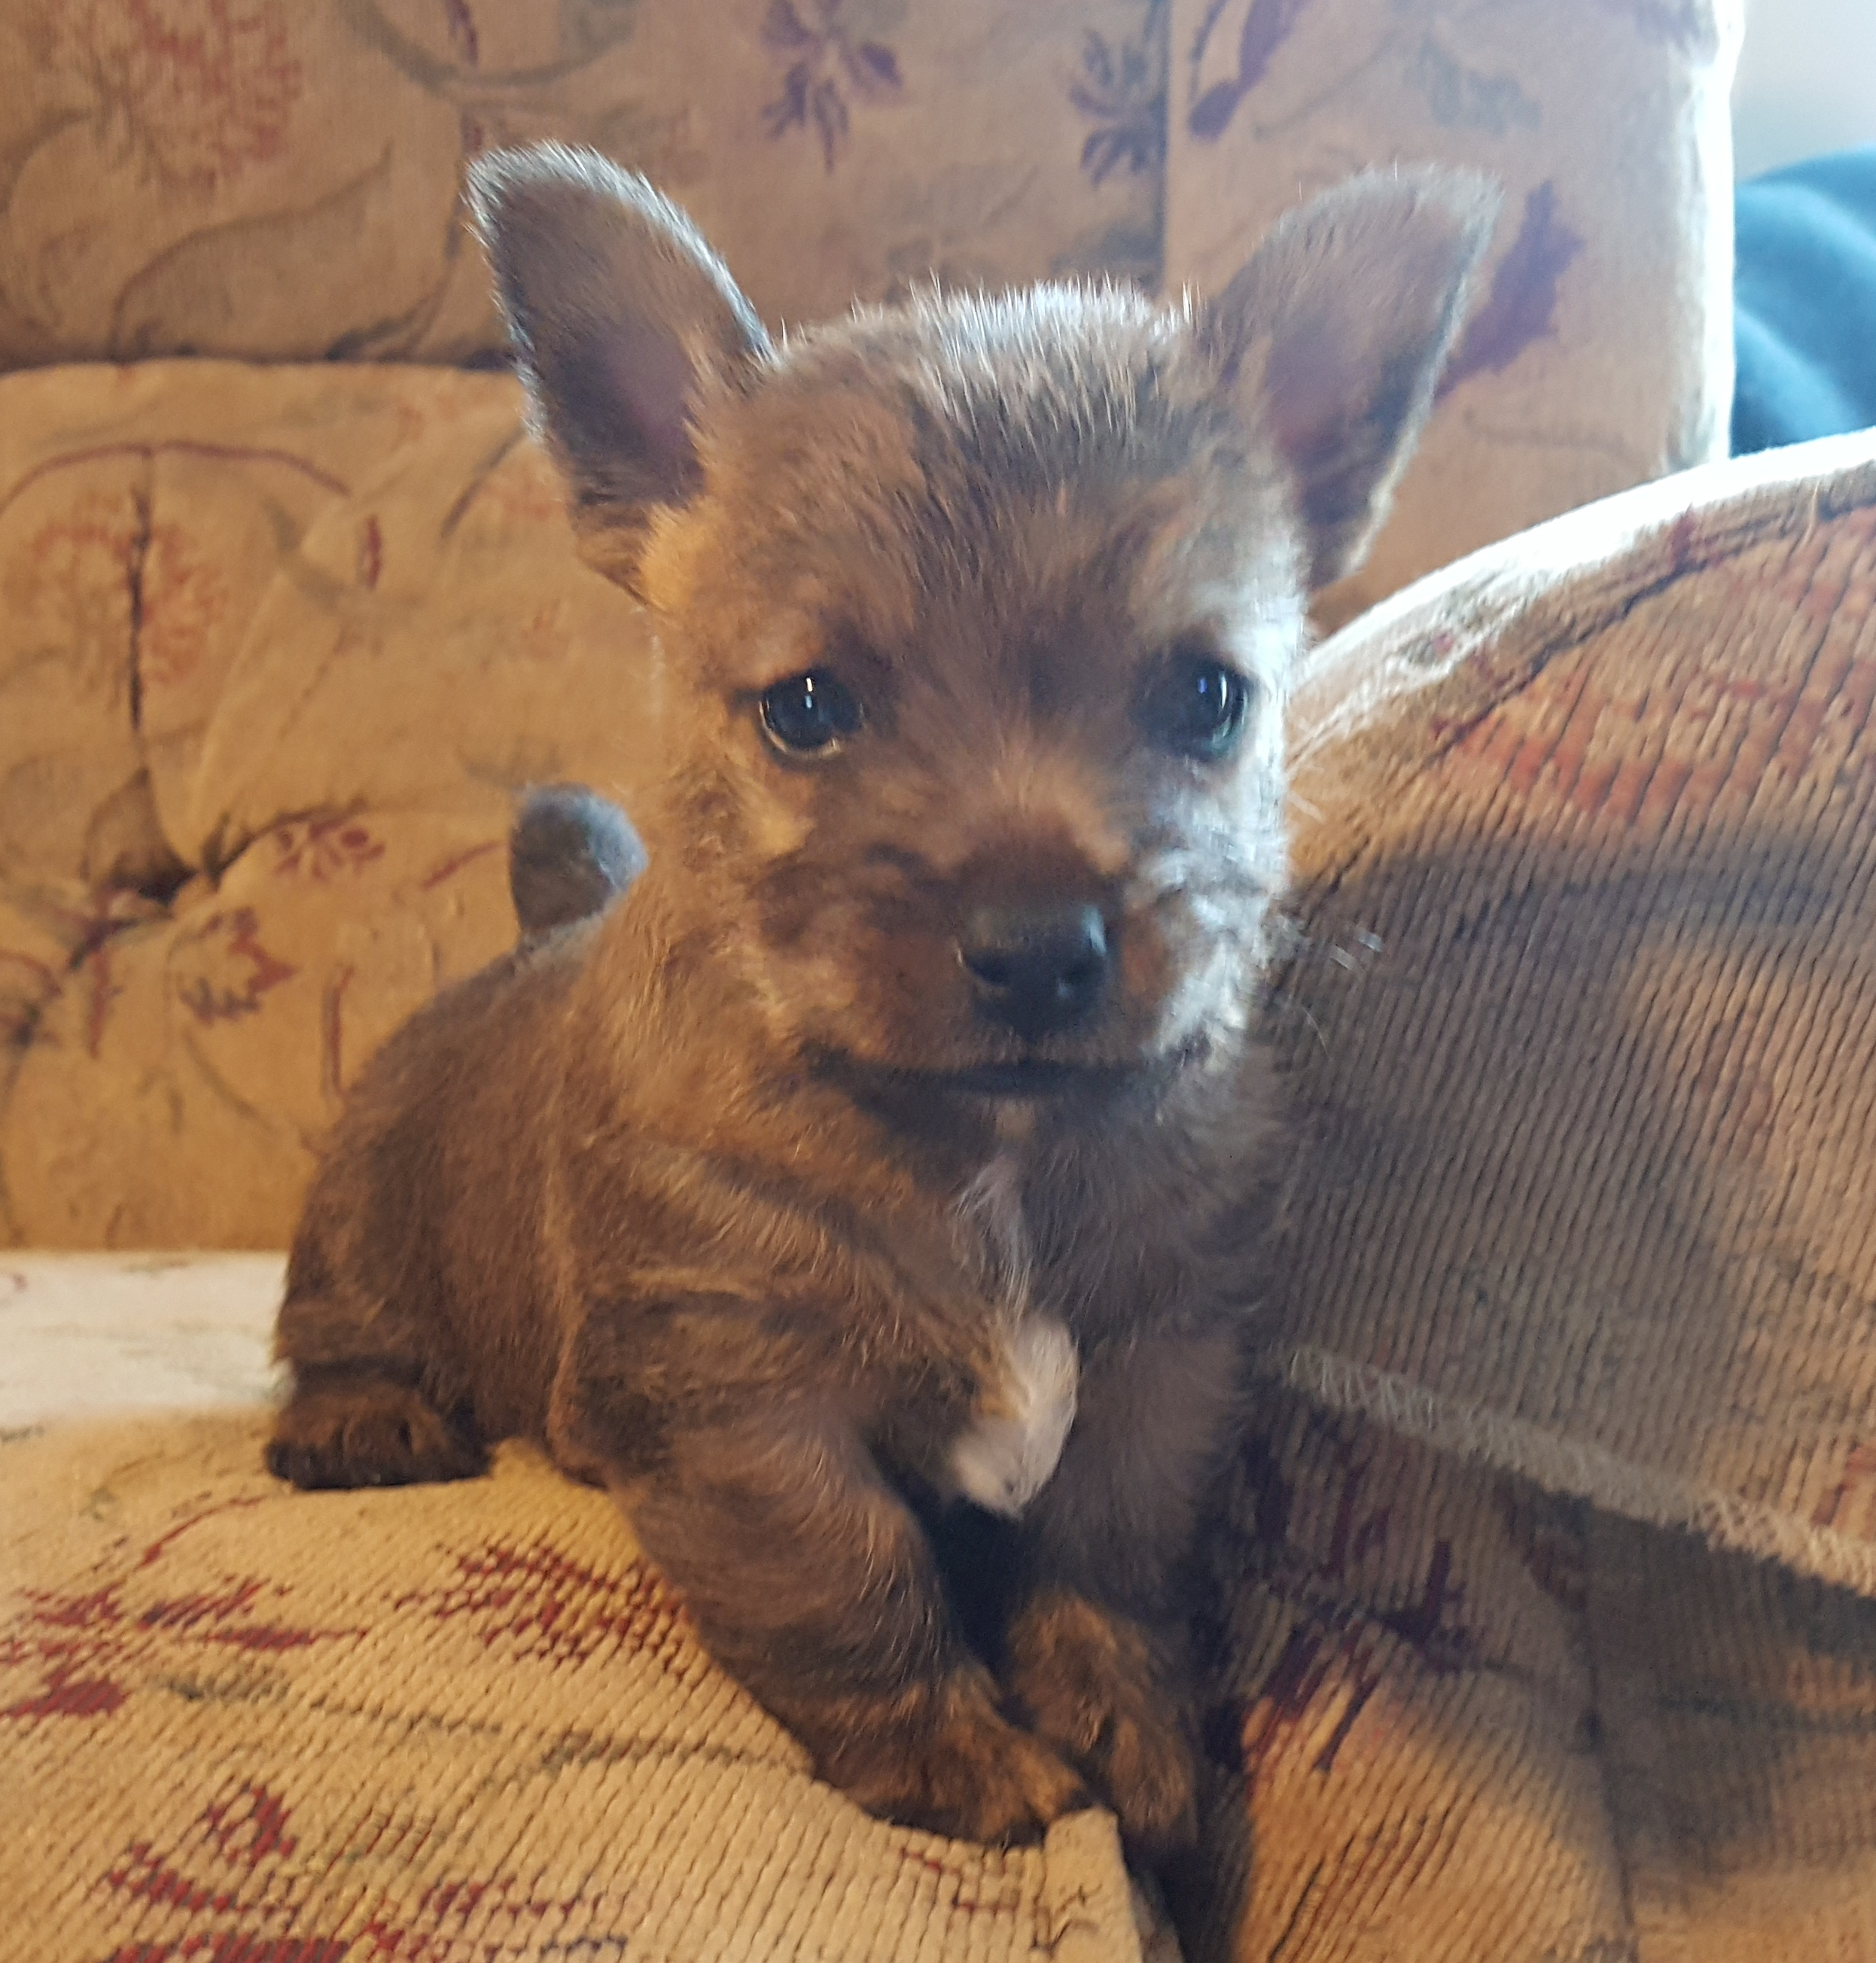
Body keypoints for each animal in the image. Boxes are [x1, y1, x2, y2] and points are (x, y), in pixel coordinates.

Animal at [267, 144, 1495, 1861]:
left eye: (1205, 698)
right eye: (806, 707)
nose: (1040, 944)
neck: (987, 1146)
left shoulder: (1160, 1366)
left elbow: (1107, 1560)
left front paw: (1125, 1720)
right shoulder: (749, 1409)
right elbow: (851, 1579)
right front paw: (952, 1750)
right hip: (369, 1203)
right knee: (339, 1317)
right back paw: (363, 1416)